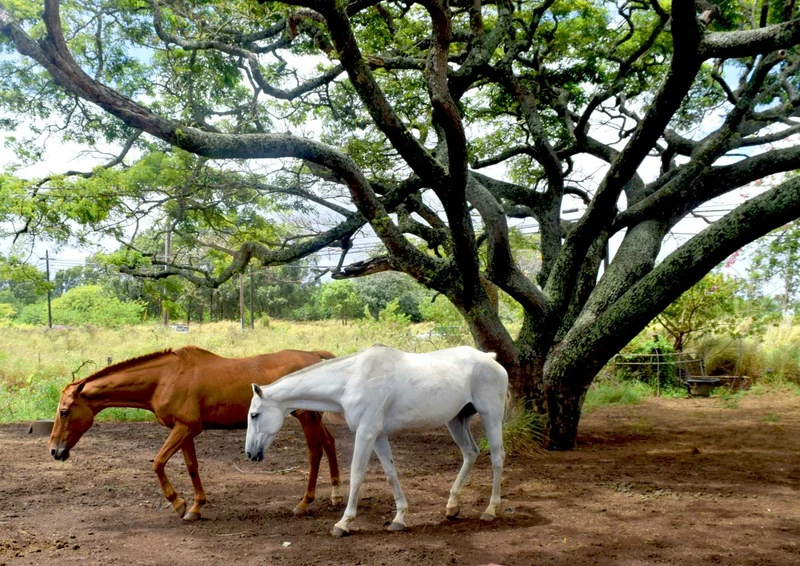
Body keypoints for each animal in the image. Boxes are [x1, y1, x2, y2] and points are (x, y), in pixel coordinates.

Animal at [49, 346, 342, 521]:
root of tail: (313, 356)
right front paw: (195, 506)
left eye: (64, 411)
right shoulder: (185, 430)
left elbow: (158, 463)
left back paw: (304, 503)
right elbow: (192, 466)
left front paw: (178, 502)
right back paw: (336, 495)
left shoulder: (185, 428)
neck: (163, 379)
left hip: (306, 417)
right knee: (329, 443)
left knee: (315, 453)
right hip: (313, 417)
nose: (54, 450)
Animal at [245, 345, 508, 537]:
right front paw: (399, 518)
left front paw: (343, 523)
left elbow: (357, 475)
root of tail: (489, 359)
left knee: (497, 458)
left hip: (491, 417)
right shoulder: (379, 436)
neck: (352, 380)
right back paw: (452, 506)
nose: (250, 453)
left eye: (254, 415)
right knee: (470, 453)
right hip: (456, 421)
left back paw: (491, 509)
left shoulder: (366, 433)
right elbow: (391, 473)